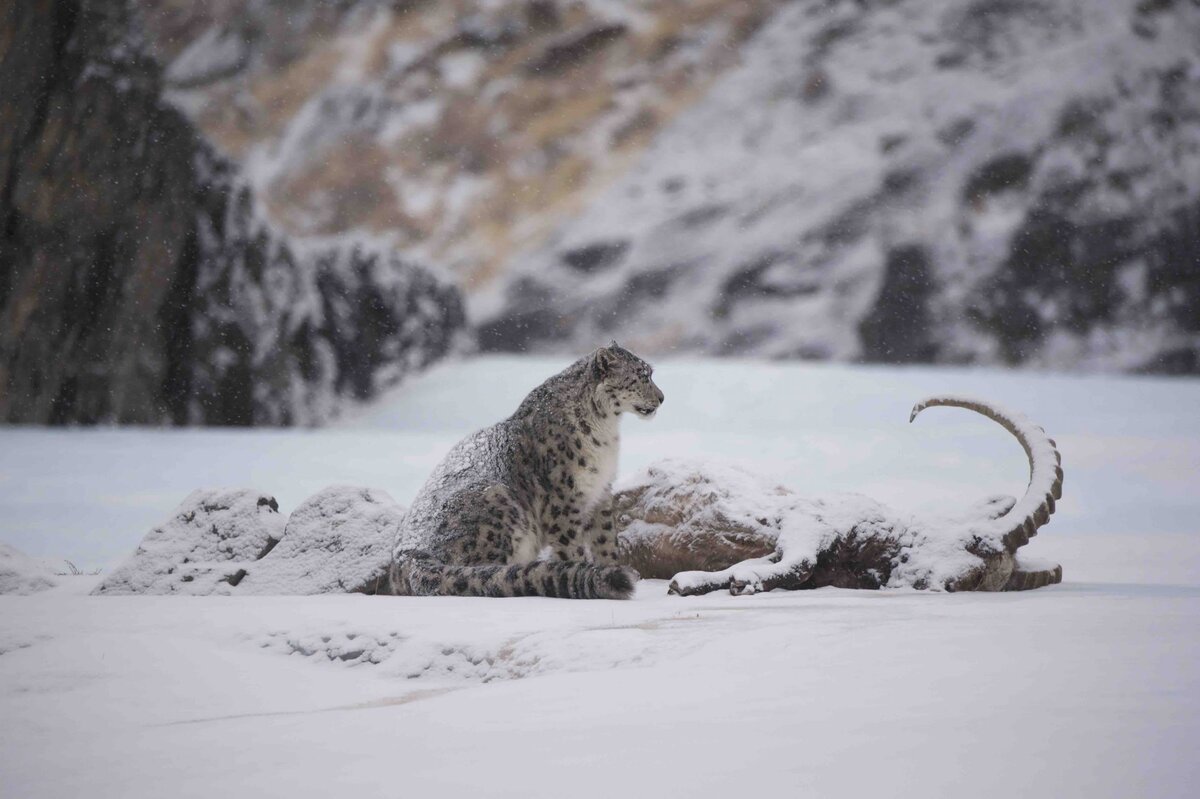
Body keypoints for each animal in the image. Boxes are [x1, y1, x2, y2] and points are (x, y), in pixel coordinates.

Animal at [388, 340, 662, 597]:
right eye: (642, 374)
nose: (662, 398)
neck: (605, 431)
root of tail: (408, 557)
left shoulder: (601, 491)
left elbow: (605, 540)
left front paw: (610, 567)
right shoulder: (563, 498)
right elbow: (570, 544)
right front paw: (582, 569)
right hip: (497, 499)